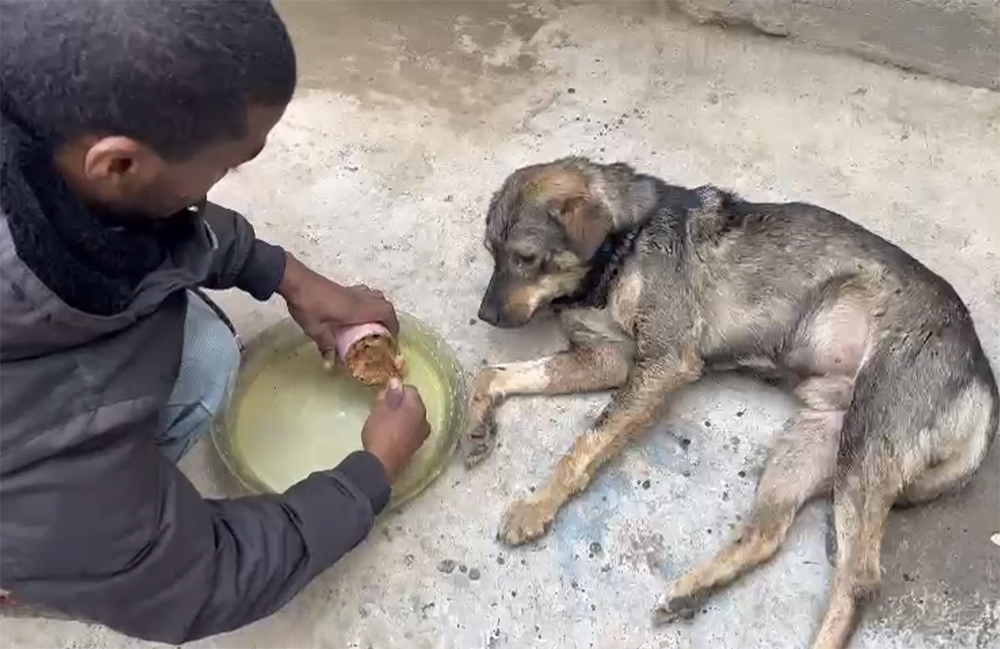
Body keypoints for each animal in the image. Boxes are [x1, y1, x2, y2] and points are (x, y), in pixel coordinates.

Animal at [462, 157, 1000, 648]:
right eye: (492, 252)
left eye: (526, 257)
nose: (484, 315)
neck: (625, 243)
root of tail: (982, 378)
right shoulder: (607, 360)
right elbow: (494, 374)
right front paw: (476, 421)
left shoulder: (664, 363)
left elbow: (586, 444)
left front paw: (538, 506)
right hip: (810, 444)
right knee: (768, 535)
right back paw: (692, 590)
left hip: (864, 444)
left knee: (859, 581)